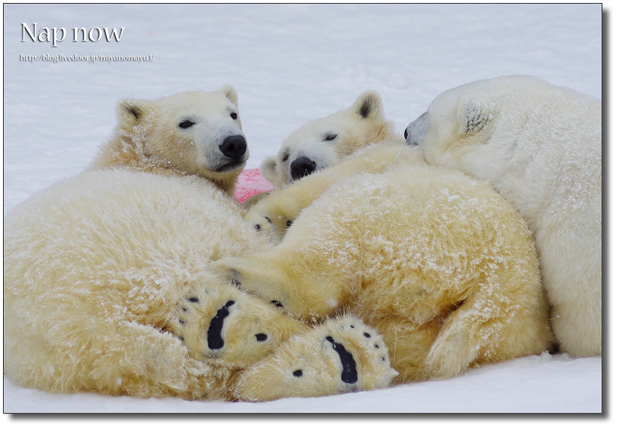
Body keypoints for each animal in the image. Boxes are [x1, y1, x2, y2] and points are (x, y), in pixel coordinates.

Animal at [216, 144, 556, 382]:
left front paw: (262, 219)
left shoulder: (376, 158)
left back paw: (236, 271)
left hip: (411, 219)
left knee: (333, 233)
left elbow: (315, 188)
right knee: (404, 347)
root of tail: (496, 289)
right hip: (462, 328)